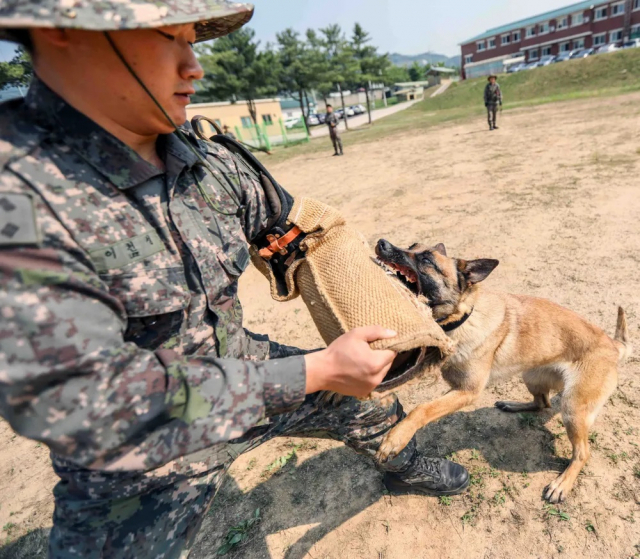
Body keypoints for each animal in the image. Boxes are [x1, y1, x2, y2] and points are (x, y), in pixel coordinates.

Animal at [376, 240, 632, 504]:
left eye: (426, 260)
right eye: (412, 245)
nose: (382, 243)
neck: (463, 316)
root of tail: (614, 346)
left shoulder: (466, 391)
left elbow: (422, 408)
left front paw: (395, 438)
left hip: (572, 409)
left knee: (582, 452)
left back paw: (562, 484)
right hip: (531, 378)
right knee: (542, 403)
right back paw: (513, 405)